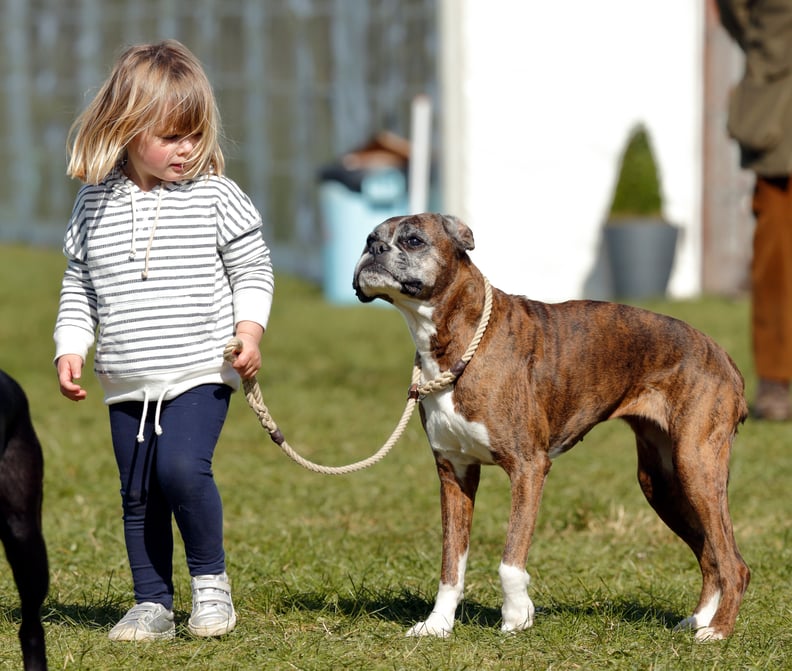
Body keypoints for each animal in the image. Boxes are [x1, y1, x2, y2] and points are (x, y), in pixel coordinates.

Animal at [352, 214, 748, 640]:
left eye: (413, 240)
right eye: (370, 238)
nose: (374, 249)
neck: (456, 338)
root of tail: (723, 356)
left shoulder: (528, 468)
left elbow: (510, 559)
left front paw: (516, 616)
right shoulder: (455, 474)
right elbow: (451, 563)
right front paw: (438, 625)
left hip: (696, 468)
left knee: (734, 564)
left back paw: (717, 631)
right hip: (662, 483)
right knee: (710, 555)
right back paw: (699, 619)